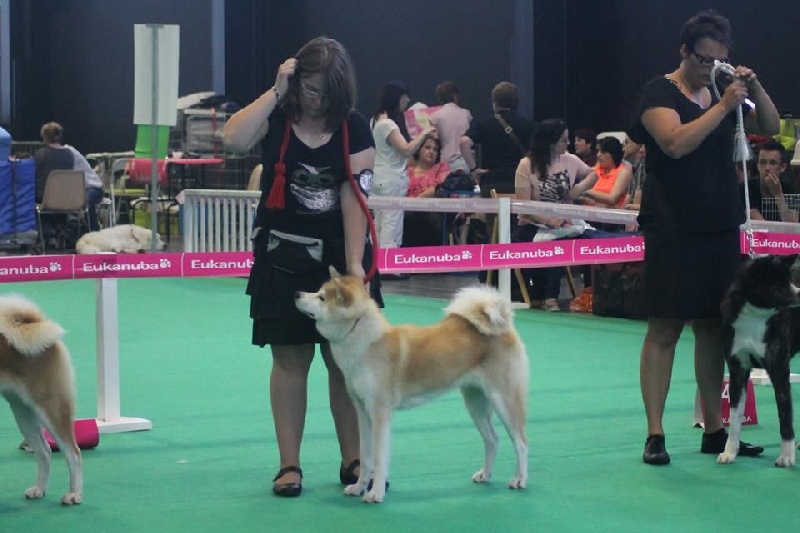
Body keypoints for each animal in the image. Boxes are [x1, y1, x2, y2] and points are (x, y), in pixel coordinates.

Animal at [0, 295, 82, 504]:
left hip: (50, 407)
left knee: (73, 453)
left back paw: (74, 494)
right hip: (22, 411)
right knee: (44, 451)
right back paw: (39, 489)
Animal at [295, 268, 528, 503]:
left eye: (321, 297)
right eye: (317, 292)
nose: (297, 293)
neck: (363, 341)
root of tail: (504, 326)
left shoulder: (380, 413)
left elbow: (378, 458)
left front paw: (375, 493)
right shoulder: (362, 412)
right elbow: (366, 455)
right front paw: (359, 487)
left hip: (504, 400)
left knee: (521, 442)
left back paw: (519, 480)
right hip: (475, 402)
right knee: (492, 439)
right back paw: (485, 475)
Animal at [718, 254, 800, 467]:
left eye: (789, 279)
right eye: (779, 284)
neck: (755, 317)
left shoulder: (779, 369)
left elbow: (785, 415)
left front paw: (786, 457)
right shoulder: (737, 369)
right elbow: (735, 416)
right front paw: (730, 452)